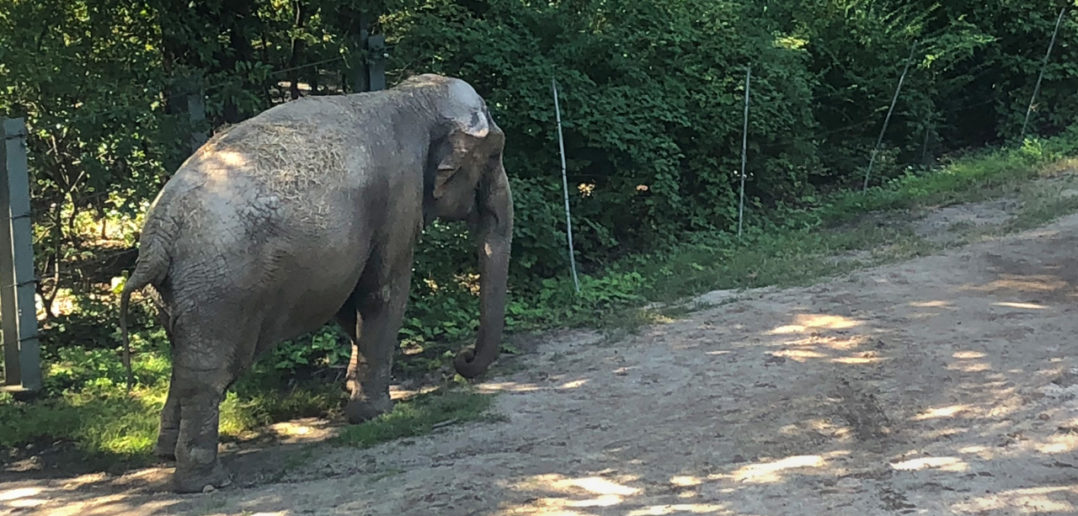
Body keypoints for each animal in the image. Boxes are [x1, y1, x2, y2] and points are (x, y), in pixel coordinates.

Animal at [118, 73, 513, 493]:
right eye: (493, 157)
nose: (462, 358)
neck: (409, 95)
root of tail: (159, 234)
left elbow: (349, 303)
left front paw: (353, 391)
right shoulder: (399, 196)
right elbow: (382, 294)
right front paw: (374, 414)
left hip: (181, 291)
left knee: (183, 362)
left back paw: (166, 454)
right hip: (220, 291)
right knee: (208, 375)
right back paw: (207, 481)